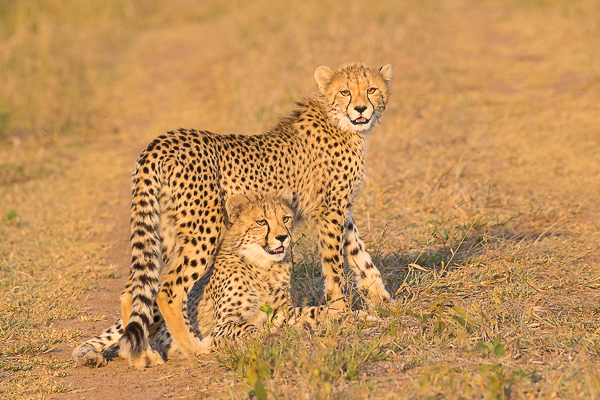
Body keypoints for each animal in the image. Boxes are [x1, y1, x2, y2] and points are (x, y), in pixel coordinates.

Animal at [73, 192, 346, 368]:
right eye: (261, 221)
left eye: (286, 219)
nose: (282, 237)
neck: (263, 267)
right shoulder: (225, 322)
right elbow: (250, 328)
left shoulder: (283, 310)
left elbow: (313, 312)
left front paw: (347, 316)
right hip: (153, 309)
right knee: (122, 336)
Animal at [119, 61, 396, 366]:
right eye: (345, 91)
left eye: (371, 89)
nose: (361, 109)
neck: (340, 122)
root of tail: (164, 140)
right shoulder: (331, 210)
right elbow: (335, 268)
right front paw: (341, 312)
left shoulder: (342, 210)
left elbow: (360, 256)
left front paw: (385, 303)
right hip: (204, 230)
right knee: (168, 290)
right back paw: (194, 348)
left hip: (167, 232)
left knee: (134, 290)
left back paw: (140, 355)